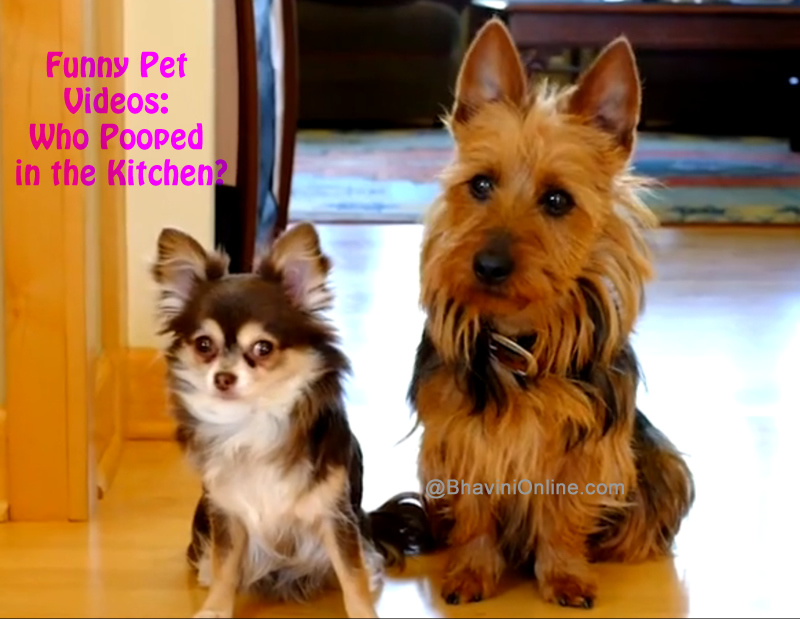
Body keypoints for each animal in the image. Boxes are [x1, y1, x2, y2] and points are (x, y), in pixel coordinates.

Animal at [151, 222, 429, 619]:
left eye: (263, 348)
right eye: (204, 345)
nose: (223, 378)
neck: (256, 420)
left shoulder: (334, 514)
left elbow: (352, 574)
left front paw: (363, 612)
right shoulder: (228, 513)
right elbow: (226, 565)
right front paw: (215, 608)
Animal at [407, 18, 695, 609]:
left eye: (558, 200)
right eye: (481, 184)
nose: (488, 265)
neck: (520, 339)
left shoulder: (587, 452)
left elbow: (565, 514)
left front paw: (564, 574)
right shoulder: (458, 440)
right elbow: (475, 513)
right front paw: (472, 571)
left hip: (662, 462)